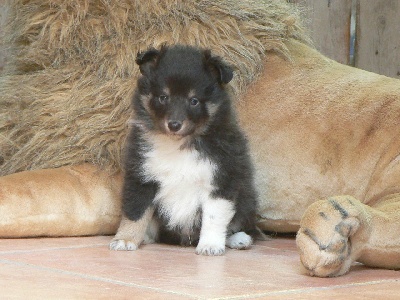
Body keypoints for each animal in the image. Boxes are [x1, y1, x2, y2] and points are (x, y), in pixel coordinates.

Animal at [109, 44, 260, 255]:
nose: (174, 125)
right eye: (163, 97)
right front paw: (125, 239)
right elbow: (135, 212)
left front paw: (210, 245)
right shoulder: (141, 176)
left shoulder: (222, 178)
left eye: (194, 100)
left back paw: (238, 239)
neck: (178, 144)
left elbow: (214, 216)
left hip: (247, 197)